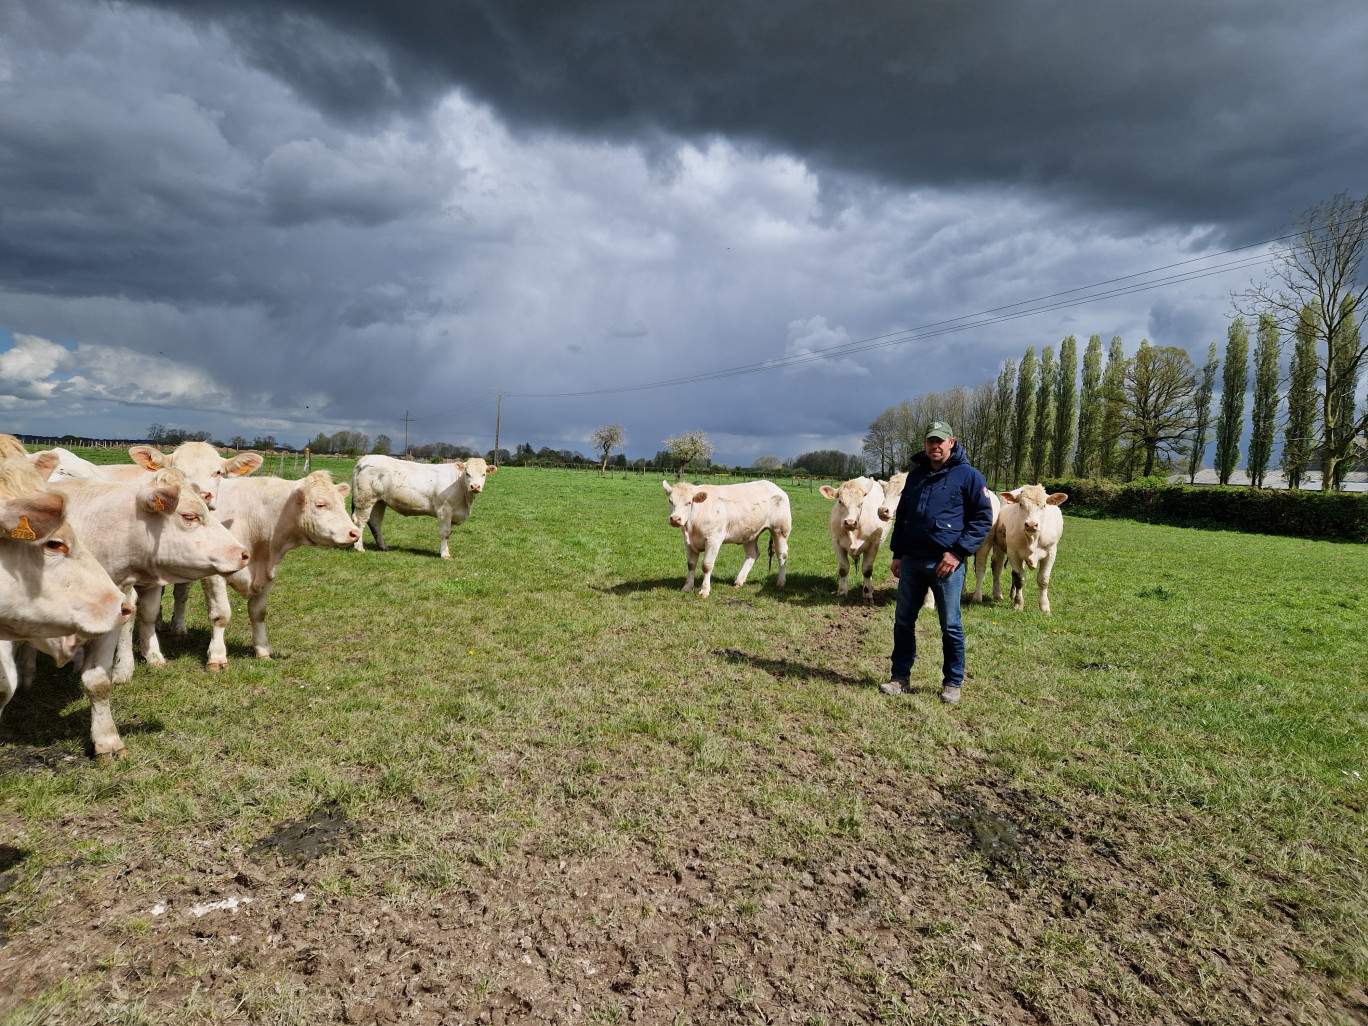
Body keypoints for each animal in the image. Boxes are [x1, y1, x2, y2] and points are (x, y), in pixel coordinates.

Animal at [152, 473, 361, 670]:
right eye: (320, 504)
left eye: (342, 503)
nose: (355, 533)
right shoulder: (215, 576)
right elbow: (221, 615)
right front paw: (217, 657)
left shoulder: (269, 575)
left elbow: (258, 613)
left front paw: (263, 649)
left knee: (180, 595)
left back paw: (177, 628)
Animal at [352, 454, 497, 558]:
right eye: (467, 473)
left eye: (483, 474)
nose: (475, 486)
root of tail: (367, 457)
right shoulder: (444, 509)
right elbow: (444, 533)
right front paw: (445, 554)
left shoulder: (454, 514)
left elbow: (448, 533)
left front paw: (441, 549)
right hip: (365, 499)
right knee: (360, 522)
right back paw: (359, 548)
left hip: (379, 501)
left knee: (375, 522)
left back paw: (383, 547)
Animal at [662, 481, 793, 599]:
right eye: (670, 501)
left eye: (689, 502)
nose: (675, 519)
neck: (692, 526)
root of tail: (773, 486)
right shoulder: (688, 542)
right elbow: (691, 564)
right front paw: (687, 587)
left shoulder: (713, 540)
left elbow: (706, 565)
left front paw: (704, 590)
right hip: (749, 532)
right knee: (753, 554)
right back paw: (739, 581)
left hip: (780, 530)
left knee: (782, 554)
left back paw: (781, 581)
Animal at [995, 487, 1067, 615]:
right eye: (1020, 504)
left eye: (1044, 505)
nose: (1031, 524)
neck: (1032, 539)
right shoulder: (1013, 553)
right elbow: (1019, 579)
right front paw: (1018, 604)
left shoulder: (1051, 553)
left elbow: (1043, 580)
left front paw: (1044, 606)